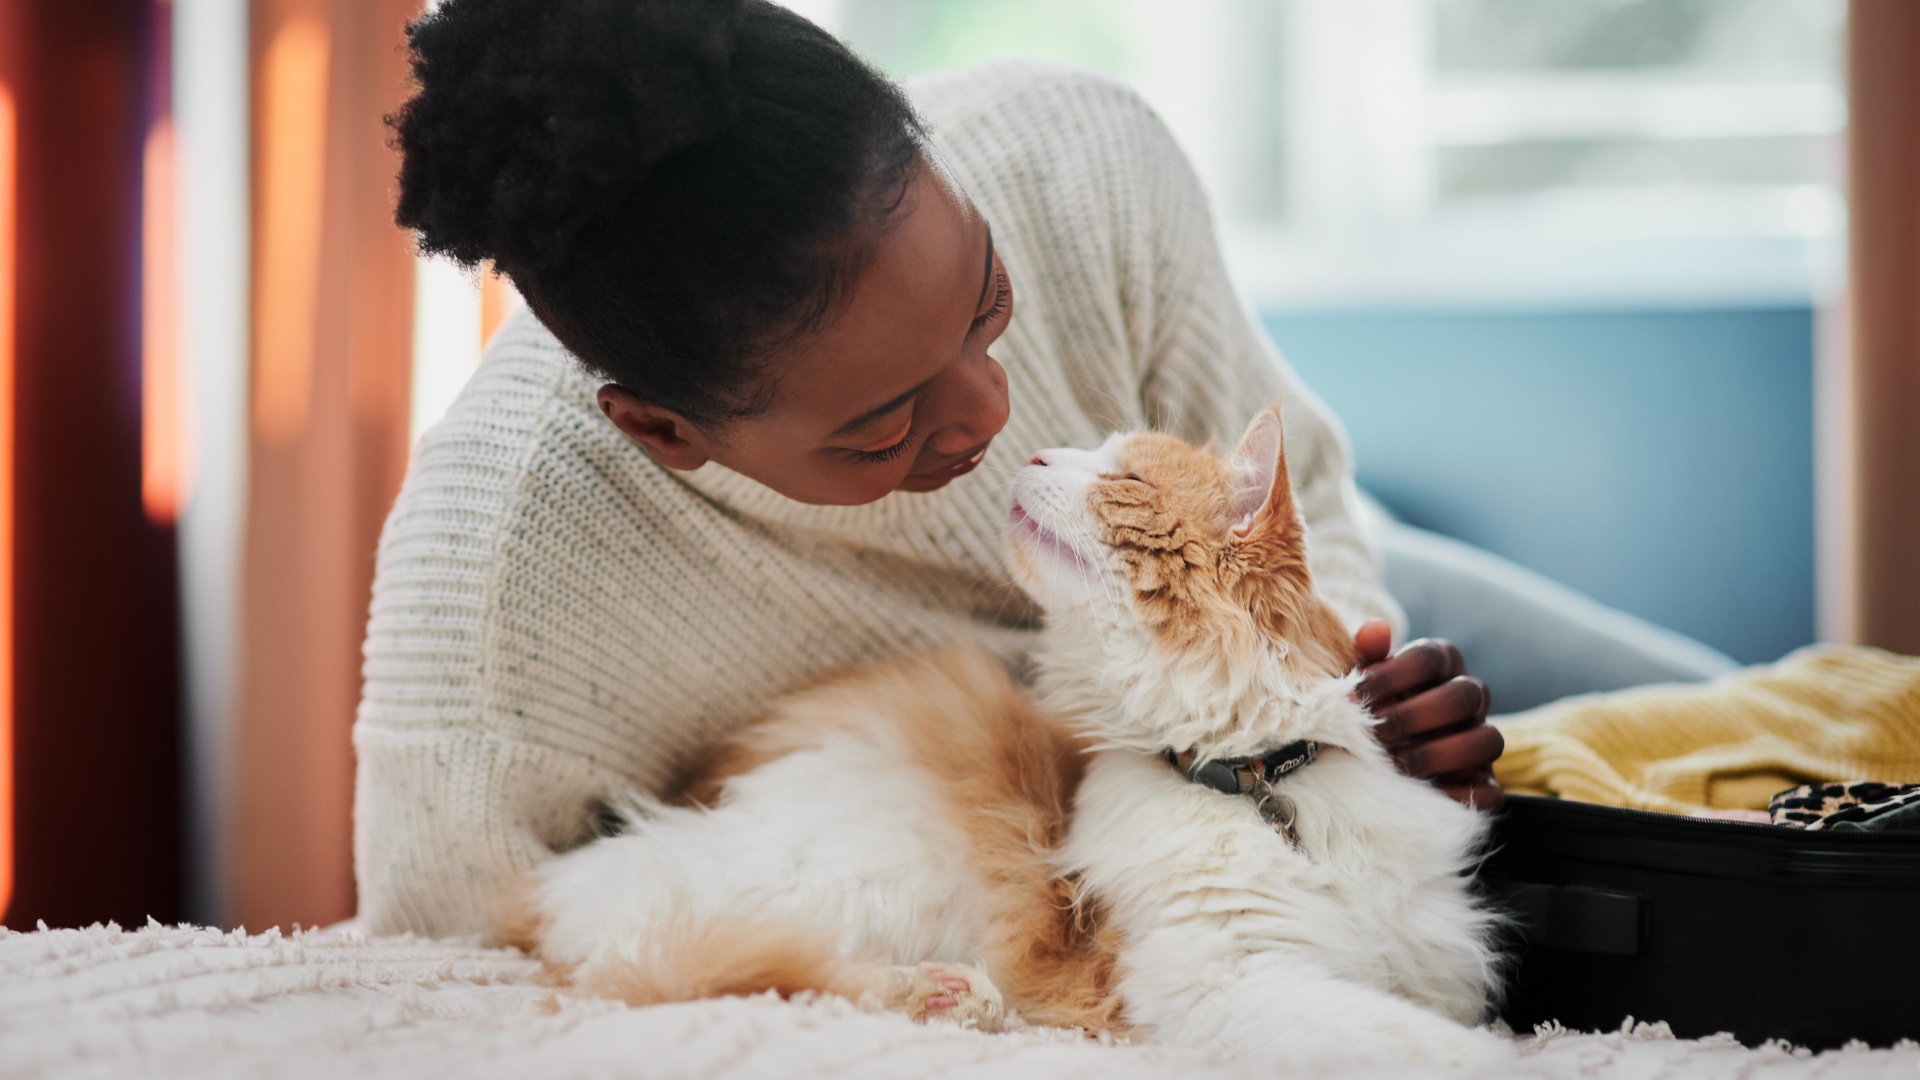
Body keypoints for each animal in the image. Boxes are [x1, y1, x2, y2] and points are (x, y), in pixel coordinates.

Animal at [499, 399, 1512, 1060]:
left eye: (1123, 475)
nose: (1032, 455)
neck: (1264, 778)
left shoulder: (1435, 971)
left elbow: (1447, 1028)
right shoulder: (1227, 981)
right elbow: (1447, 1054)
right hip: (867, 869)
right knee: (690, 954)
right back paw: (943, 994)